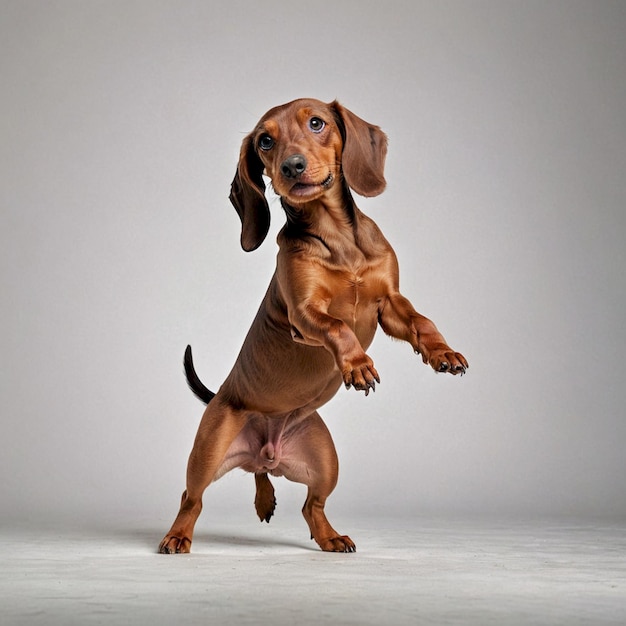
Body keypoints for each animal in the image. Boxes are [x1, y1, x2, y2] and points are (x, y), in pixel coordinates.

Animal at [158, 97, 466, 552]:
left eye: (317, 123)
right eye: (265, 141)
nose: (292, 166)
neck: (337, 238)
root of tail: (266, 447)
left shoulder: (390, 303)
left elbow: (420, 321)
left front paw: (443, 352)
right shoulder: (304, 316)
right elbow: (338, 328)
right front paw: (357, 364)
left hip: (325, 459)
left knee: (306, 503)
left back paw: (320, 531)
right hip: (208, 450)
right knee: (190, 498)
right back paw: (178, 536)